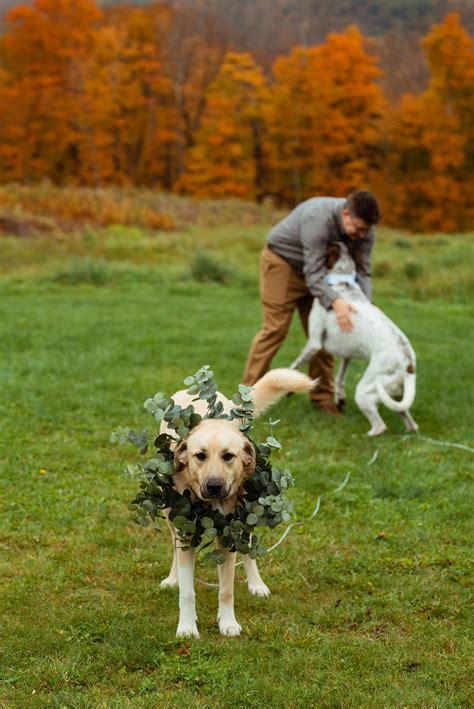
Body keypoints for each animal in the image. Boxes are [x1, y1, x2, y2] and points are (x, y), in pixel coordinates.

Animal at [159, 368, 314, 640]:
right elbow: (187, 592)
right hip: (172, 518)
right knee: (175, 548)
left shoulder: (227, 536)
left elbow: (226, 589)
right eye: (200, 456)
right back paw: (173, 578)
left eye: (228, 456)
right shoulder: (185, 532)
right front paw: (187, 627)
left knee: (249, 549)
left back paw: (256, 584)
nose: (214, 486)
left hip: (246, 518)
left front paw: (227, 623)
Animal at [288, 243, 418, 436]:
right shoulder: (347, 355)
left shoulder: (314, 343)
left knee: (380, 426)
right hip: (394, 395)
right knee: (411, 423)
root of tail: (408, 365)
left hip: (365, 391)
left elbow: (294, 365)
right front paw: (340, 400)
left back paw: (363, 435)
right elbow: (339, 378)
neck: (343, 281)